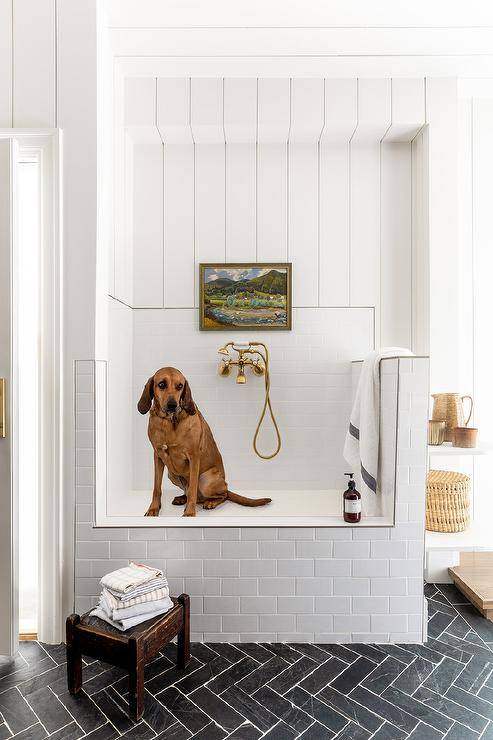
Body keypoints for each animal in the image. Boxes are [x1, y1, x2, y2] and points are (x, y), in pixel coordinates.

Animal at [136, 368, 270, 516]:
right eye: (161, 384)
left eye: (179, 386)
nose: (172, 405)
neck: (168, 422)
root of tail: (225, 486)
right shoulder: (158, 455)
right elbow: (156, 488)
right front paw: (153, 509)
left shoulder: (194, 457)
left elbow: (193, 489)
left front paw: (189, 512)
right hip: (172, 474)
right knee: (191, 493)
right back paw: (182, 498)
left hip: (205, 479)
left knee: (221, 495)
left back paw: (210, 502)